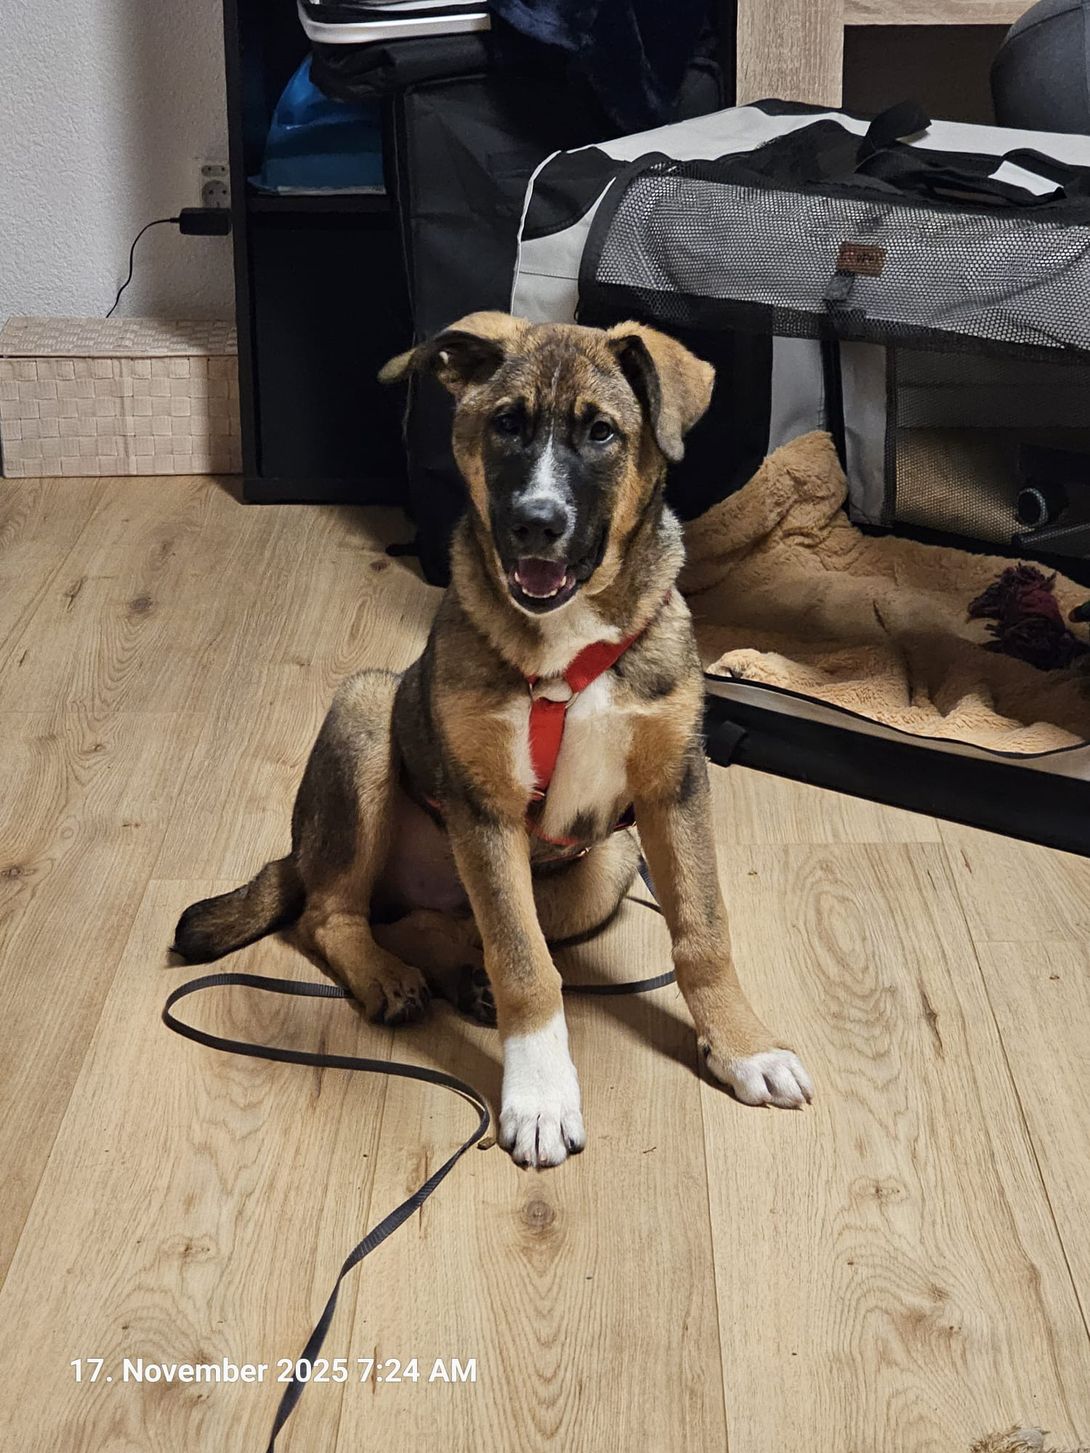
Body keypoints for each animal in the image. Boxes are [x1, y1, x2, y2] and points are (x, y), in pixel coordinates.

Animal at [173, 312, 812, 1167]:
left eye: (602, 433)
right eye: (506, 423)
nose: (534, 524)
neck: (571, 637)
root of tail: (299, 850)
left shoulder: (674, 785)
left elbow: (702, 929)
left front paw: (744, 1046)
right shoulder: (486, 806)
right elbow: (526, 963)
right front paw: (540, 1093)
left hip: (607, 864)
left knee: (443, 919)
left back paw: (455, 972)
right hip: (367, 711)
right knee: (334, 912)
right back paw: (387, 975)